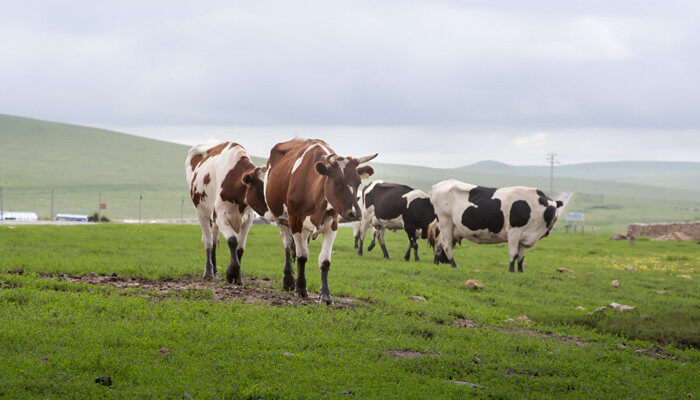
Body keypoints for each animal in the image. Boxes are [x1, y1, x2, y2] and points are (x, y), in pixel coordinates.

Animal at [185, 142, 266, 282]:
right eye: (259, 188)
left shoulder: (248, 219)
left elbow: (240, 248)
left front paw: (238, 278)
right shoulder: (219, 215)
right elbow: (232, 241)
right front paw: (231, 272)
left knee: (213, 240)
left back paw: (215, 270)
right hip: (202, 213)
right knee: (208, 242)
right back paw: (208, 272)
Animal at [256, 138, 374, 304]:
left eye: (358, 182)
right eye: (337, 182)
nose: (355, 214)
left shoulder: (332, 226)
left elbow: (324, 261)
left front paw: (325, 296)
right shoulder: (296, 223)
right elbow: (302, 256)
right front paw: (300, 289)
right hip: (280, 220)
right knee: (287, 245)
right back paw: (289, 281)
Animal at [426, 180, 564, 272]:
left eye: (555, 210)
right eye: (551, 210)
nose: (554, 218)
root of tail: (437, 186)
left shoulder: (524, 237)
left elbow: (521, 256)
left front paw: (520, 272)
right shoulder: (514, 231)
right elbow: (513, 253)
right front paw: (511, 271)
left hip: (449, 228)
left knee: (438, 244)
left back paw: (436, 263)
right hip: (446, 222)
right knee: (447, 246)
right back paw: (455, 266)